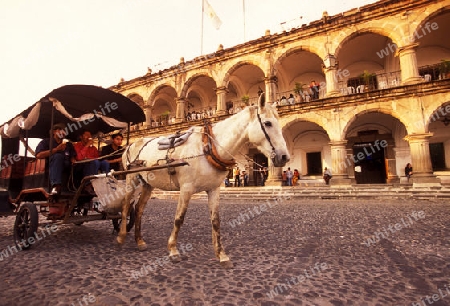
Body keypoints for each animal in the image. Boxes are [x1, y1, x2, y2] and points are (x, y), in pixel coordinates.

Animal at [118, 93, 290, 268]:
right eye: (268, 123)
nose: (284, 157)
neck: (207, 148)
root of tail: (131, 145)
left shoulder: (214, 189)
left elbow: (216, 220)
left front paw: (221, 254)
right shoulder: (186, 188)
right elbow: (179, 218)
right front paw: (173, 250)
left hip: (148, 184)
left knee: (139, 209)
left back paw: (139, 241)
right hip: (131, 178)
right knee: (126, 205)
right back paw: (121, 236)